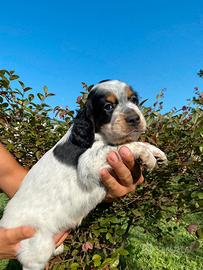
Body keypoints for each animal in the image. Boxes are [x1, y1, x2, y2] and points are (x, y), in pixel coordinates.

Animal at [0, 80, 167, 270]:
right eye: (108, 106)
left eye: (133, 100)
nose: (134, 119)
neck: (97, 134)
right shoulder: (88, 163)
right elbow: (122, 146)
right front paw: (147, 155)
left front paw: (157, 153)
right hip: (36, 251)